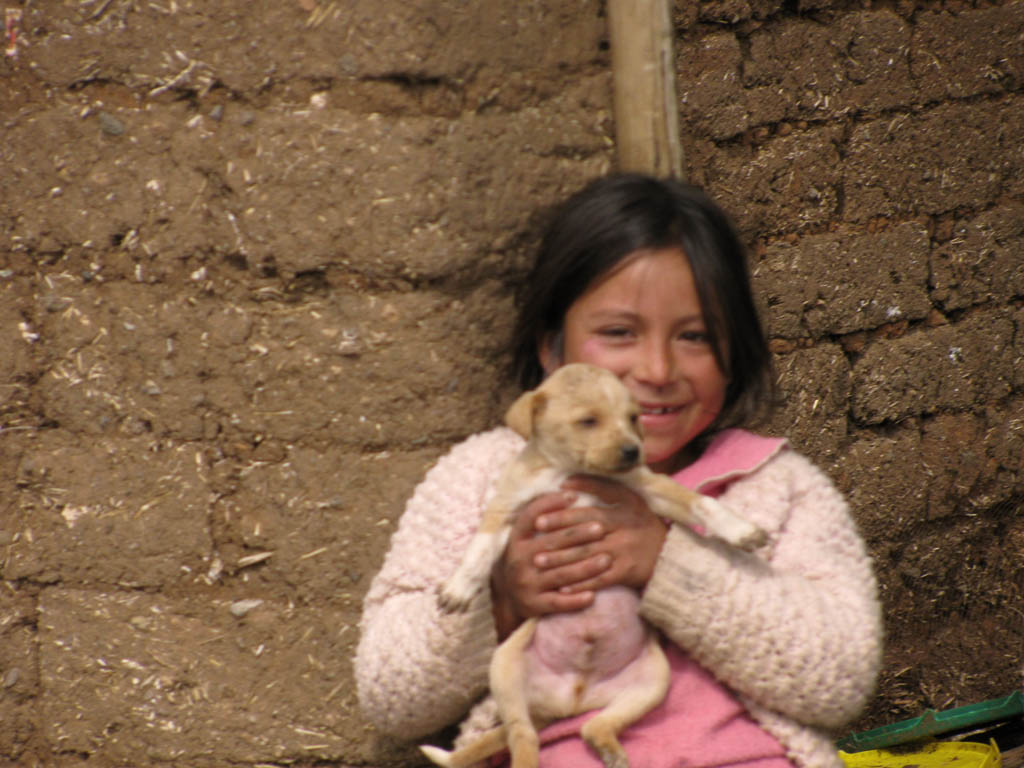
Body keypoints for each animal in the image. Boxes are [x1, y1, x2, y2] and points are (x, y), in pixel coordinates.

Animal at [419, 364, 765, 768]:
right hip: (504, 668)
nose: (634, 450)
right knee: (523, 736)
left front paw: (741, 529)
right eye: (588, 420)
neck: (565, 470)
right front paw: (458, 588)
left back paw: (609, 748)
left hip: (653, 682)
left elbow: (701, 504)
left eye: (633, 418)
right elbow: (479, 550)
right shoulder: (506, 509)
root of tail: (568, 700)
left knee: (591, 726)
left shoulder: (650, 487)